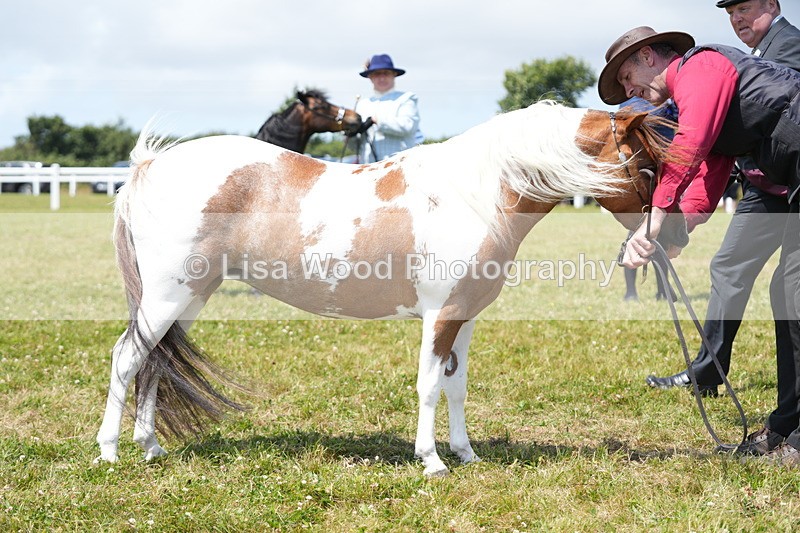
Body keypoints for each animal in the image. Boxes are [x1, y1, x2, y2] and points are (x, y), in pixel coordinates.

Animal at [95, 101, 682, 476]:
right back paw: (109, 452)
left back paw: (151, 447)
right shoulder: (440, 316)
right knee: (128, 357)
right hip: (167, 296)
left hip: (188, 298)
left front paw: (466, 453)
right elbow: (428, 385)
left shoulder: (465, 316)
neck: (474, 196)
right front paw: (432, 461)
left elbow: (456, 386)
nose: (673, 237)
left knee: (157, 361)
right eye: (647, 164)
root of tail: (149, 166)